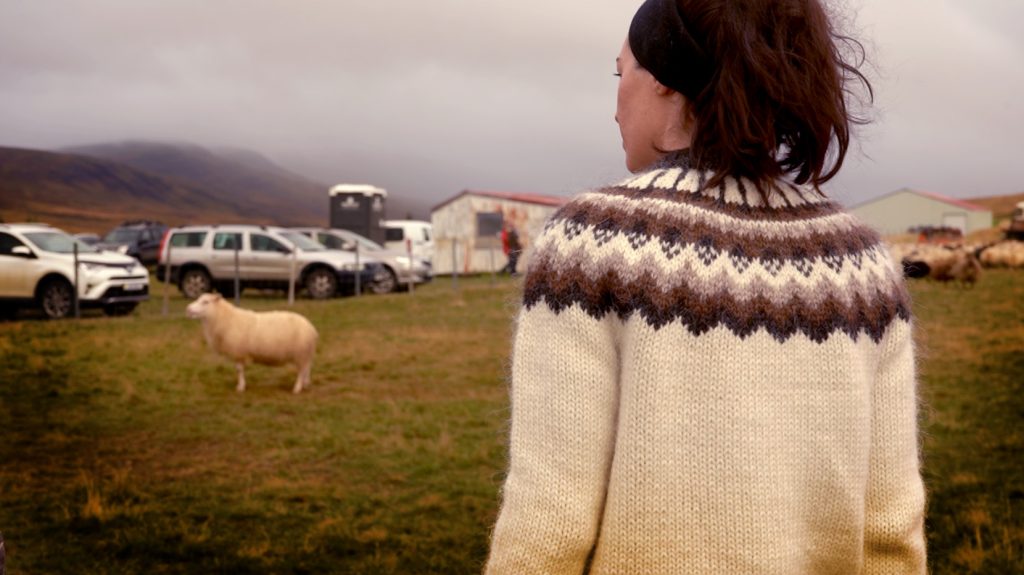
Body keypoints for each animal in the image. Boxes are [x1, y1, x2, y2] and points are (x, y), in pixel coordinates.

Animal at [186, 292, 317, 390]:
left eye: (206, 302)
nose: (188, 309)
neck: (225, 318)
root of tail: (311, 328)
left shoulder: (238, 352)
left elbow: (239, 370)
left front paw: (240, 387)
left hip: (300, 352)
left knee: (301, 371)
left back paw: (297, 388)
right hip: (305, 353)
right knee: (307, 368)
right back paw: (306, 384)